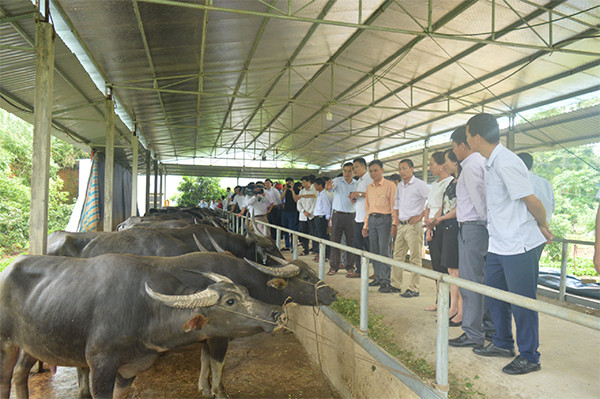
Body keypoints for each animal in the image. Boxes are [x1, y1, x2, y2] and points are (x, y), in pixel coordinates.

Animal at [0, 255, 282, 399]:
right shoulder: (100, 368)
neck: (144, 311)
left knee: (20, 374)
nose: (276, 313)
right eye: (230, 301)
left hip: (32, 344)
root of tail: (6, 271)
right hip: (6, 343)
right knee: (5, 379)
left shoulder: (130, 370)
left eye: (245, 291)